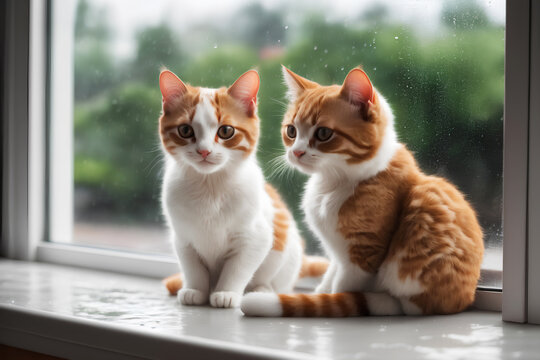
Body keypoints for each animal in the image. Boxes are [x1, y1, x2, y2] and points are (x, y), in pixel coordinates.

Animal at [158, 69, 326, 306]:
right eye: (185, 130)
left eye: (226, 131)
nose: (204, 151)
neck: (210, 187)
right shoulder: (183, 238)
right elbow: (193, 268)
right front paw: (195, 290)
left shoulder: (255, 238)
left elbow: (237, 269)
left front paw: (226, 292)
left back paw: (262, 290)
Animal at [242, 66, 486, 316]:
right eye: (291, 131)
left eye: (323, 134)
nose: (296, 152)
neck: (332, 183)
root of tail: (461, 300)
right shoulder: (337, 255)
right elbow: (329, 278)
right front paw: (322, 292)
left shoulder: (362, 254)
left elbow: (342, 288)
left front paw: (332, 302)